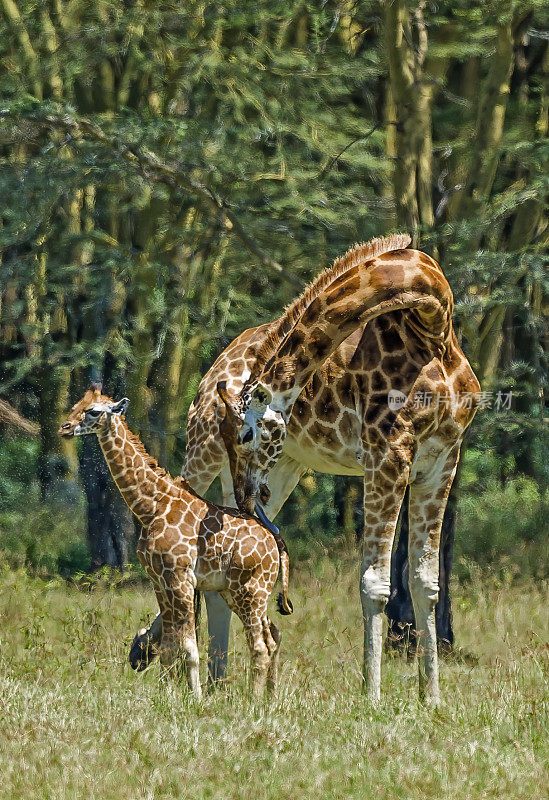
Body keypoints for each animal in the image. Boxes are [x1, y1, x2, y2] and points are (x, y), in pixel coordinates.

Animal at [57, 384, 294, 696]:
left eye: (94, 411)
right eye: (75, 405)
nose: (64, 428)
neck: (150, 506)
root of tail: (276, 546)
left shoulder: (180, 578)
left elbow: (189, 648)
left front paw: (194, 698)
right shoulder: (159, 579)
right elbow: (170, 648)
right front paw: (168, 696)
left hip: (250, 591)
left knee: (260, 647)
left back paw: (254, 701)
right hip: (239, 591)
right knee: (273, 636)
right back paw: (270, 698)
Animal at [131, 234, 478, 704]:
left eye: (246, 435)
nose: (247, 495)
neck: (434, 322)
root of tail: (215, 365)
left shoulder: (442, 460)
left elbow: (426, 583)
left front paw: (432, 699)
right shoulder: (386, 455)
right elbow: (375, 583)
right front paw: (372, 698)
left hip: (281, 473)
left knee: (222, 554)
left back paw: (217, 682)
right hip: (204, 452)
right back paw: (178, 664)